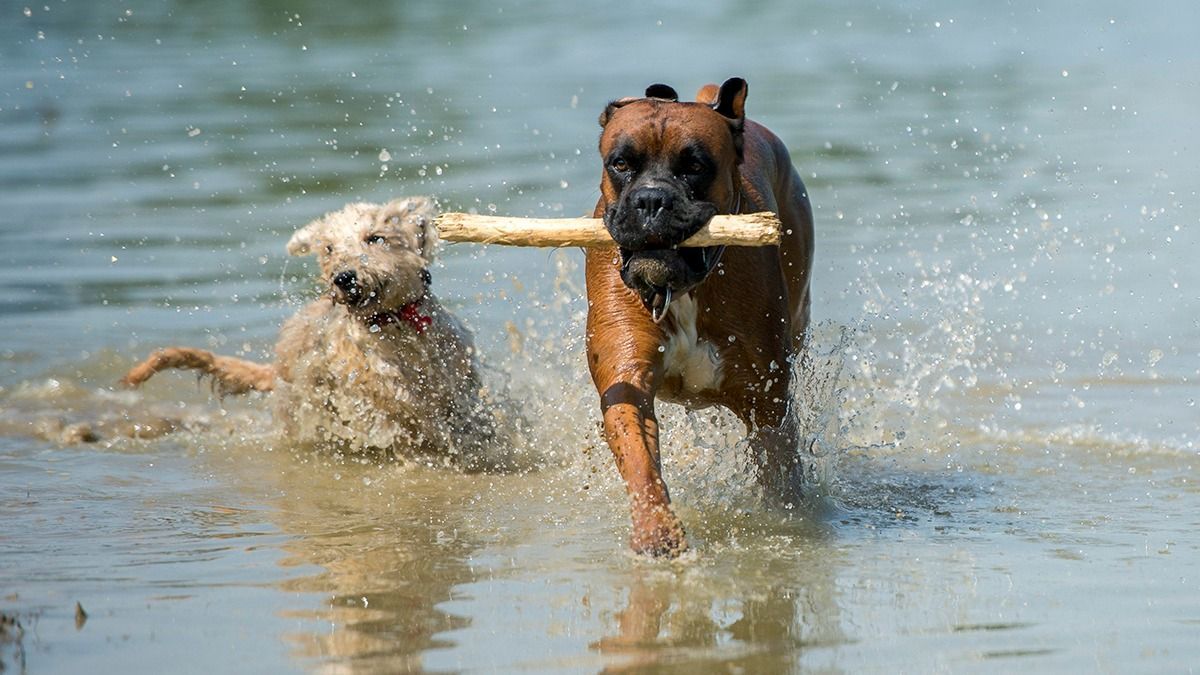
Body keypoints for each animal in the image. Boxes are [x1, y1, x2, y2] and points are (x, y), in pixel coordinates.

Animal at [121, 195, 496, 461]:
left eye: (376, 238)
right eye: (329, 248)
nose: (343, 278)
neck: (396, 324)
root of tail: (277, 367)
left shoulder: (461, 381)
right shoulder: (383, 399)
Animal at [583, 78, 811, 554]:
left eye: (694, 166)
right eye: (620, 163)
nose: (652, 199)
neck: (682, 289)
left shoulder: (767, 402)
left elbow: (779, 468)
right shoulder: (626, 385)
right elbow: (640, 461)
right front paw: (656, 530)